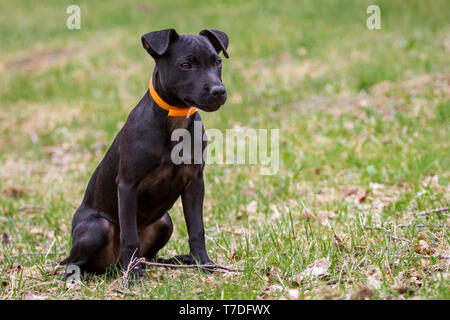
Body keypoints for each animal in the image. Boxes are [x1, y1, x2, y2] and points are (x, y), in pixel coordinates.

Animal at [61, 29, 230, 280]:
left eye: (217, 62)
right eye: (186, 65)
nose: (219, 91)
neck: (174, 121)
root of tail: (113, 266)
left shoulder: (195, 182)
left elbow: (197, 229)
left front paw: (203, 263)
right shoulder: (127, 185)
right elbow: (130, 236)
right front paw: (133, 275)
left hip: (164, 222)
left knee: (151, 256)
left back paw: (178, 260)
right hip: (98, 228)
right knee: (74, 262)